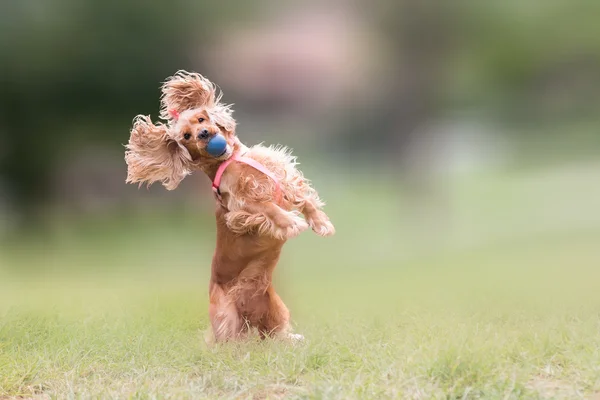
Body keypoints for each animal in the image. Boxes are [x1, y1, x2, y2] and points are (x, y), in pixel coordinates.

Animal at [124, 70, 336, 342]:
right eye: (186, 136)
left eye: (201, 118)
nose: (204, 133)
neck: (231, 159)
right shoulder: (240, 206)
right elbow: (268, 208)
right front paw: (291, 222)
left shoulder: (279, 173)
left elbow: (303, 198)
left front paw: (321, 223)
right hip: (226, 316)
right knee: (229, 341)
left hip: (277, 310)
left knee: (274, 333)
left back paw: (292, 340)